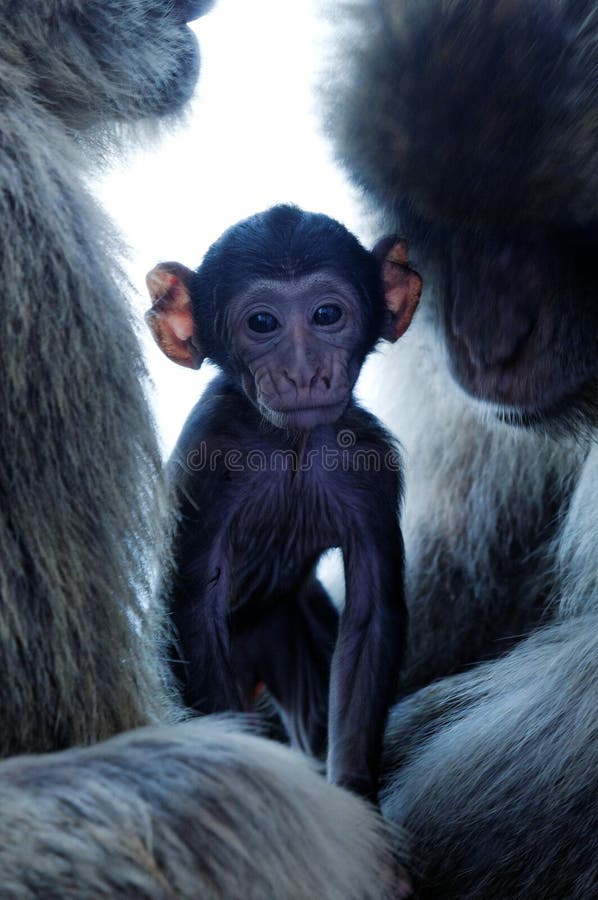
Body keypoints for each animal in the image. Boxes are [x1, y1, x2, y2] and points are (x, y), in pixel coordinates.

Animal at [147, 206, 424, 800]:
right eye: (262, 324)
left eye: (326, 314)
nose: (304, 372)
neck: (289, 445)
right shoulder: (208, 457)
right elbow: (194, 613)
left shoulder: (371, 463)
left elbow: (370, 616)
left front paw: (354, 795)